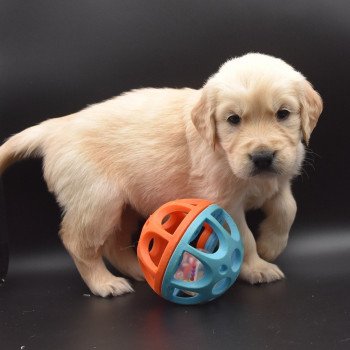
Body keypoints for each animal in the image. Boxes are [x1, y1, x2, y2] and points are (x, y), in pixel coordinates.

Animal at [0, 53, 322, 296]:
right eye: (233, 120)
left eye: (283, 114)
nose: (263, 157)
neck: (224, 154)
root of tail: (57, 127)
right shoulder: (225, 202)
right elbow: (243, 235)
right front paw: (257, 267)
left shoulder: (279, 181)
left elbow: (288, 209)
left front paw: (271, 245)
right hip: (98, 200)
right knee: (78, 243)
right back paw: (105, 284)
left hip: (123, 204)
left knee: (114, 243)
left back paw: (138, 271)